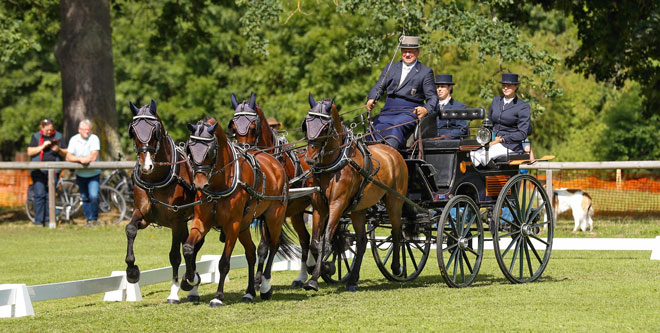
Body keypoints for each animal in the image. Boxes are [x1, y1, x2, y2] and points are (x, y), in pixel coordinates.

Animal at [125, 99, 204, 304]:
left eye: (155, 131)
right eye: (132, 131)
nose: (146, 166)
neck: (155, 180)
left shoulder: (176, 221)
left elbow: (175, 256)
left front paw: (174, 292)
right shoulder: (142, 215)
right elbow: (130, 229)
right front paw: (132, 271)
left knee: (194, 245)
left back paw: (191, 284)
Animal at [180, 116, 294, 306]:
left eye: (210, 152)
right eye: (190, 149)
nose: (199, 185)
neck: (219, 184)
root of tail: (275, 163)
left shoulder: (232, 225)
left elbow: (224, 262)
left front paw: (218, 297)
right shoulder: (202, 222)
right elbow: (188, 248)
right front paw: (190, 279)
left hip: (274, 217)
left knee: (273, 244)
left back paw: (264, 286)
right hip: (244, 225)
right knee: (251, 253)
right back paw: (249, 292)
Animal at [228, 92, 324, 286]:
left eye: (253, 127)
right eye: (233, 126)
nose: (243, 151)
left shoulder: (273, 210)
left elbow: (265, 246)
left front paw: (260, 279)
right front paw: (259, 278)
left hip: (317, 206)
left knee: (319, 240)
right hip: (296, 213)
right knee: (305, 239)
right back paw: (302, 277)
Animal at [302, 92, 410, 290]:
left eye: (325, 127)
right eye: (306, 123)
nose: (310, 158)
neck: (333, 163)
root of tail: (393, 152)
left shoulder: (337, 204)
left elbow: (326, 242)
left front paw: (314, 278)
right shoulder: (320, 207)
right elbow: (315, 244)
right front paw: (326, 267)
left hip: (394, 201)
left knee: (397, 232)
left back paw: (397, 267)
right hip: (359, 209)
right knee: (361, 242)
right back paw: (352, 280)